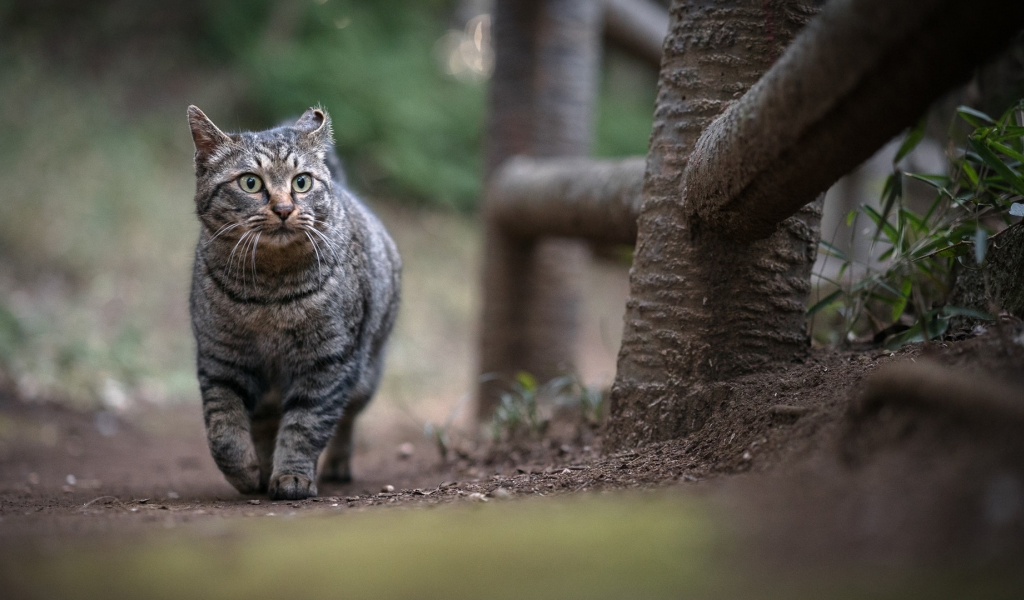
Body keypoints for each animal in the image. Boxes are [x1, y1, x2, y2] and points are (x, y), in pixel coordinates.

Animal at [187, 104, 399, 497]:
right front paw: (245, 471)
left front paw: (292, 476)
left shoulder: (328, 362)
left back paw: (335, 466)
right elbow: (223, 429)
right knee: (265, 423)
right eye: (250, 183)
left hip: (366, 374)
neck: (268, 293)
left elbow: (305, 425)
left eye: (301, 182)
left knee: (345, 421)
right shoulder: (221, 359)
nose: (284, 208)